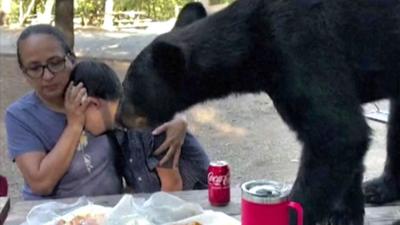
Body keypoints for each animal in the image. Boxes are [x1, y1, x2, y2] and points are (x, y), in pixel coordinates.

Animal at [120, 0, 400, 225]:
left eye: (127, 89)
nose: (119, 119)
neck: (254, 47)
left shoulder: (302, 50)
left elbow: (337, 132)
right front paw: (344, 213)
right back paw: (380, 188)